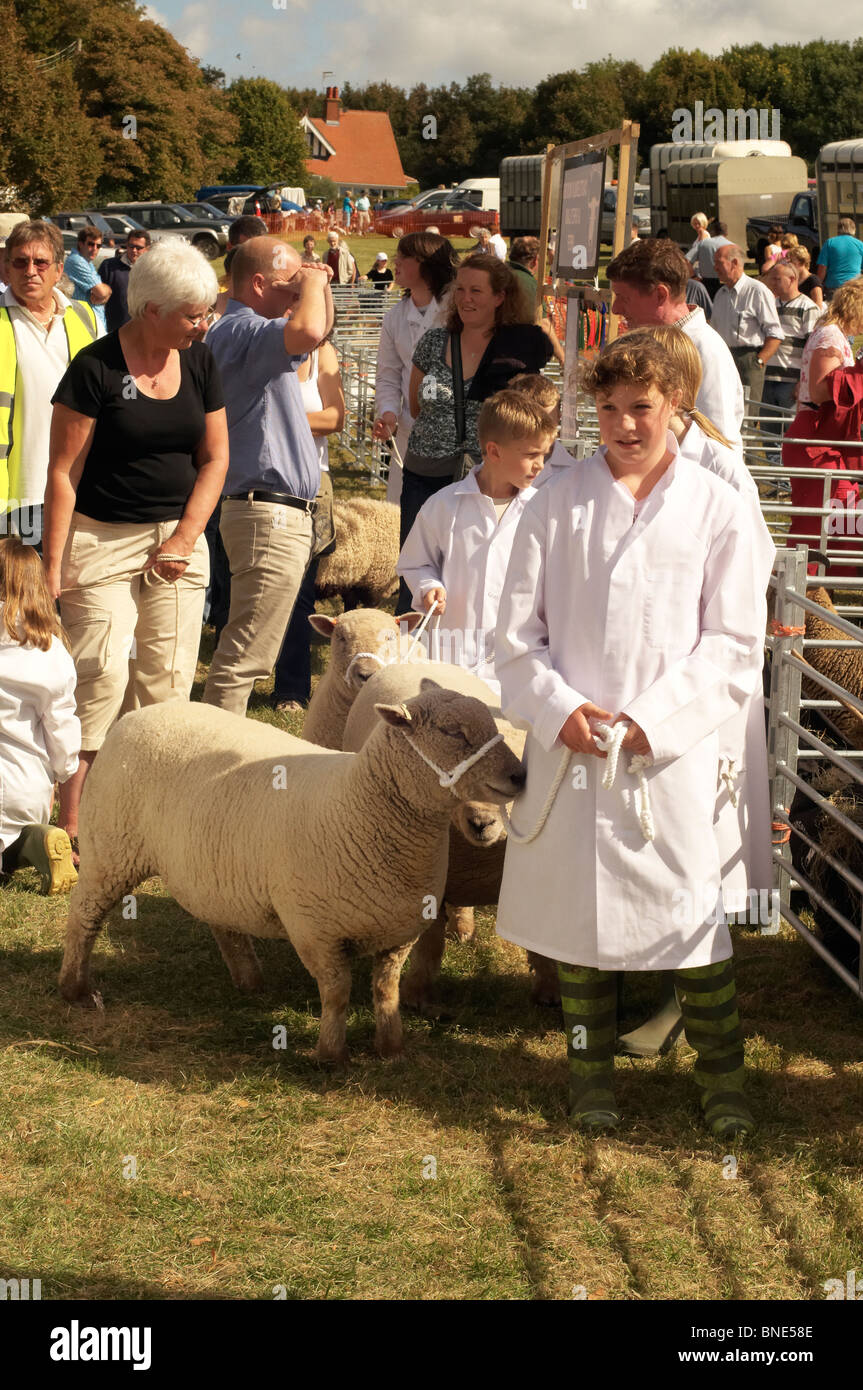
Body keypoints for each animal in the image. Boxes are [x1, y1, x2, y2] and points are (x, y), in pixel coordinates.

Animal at [60, 689, 525, 1056]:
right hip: (110, 850)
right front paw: (329, 1054)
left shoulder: (398, 933)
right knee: (83, 916)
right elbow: (337, 993)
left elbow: (386, 992)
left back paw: (248, 979)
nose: (520, 775)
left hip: (213, 863)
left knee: (220, 919)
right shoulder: (315, 930)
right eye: (452, 733)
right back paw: (74, 988)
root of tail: (139, 714)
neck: (362, 803)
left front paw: (391, 1047)